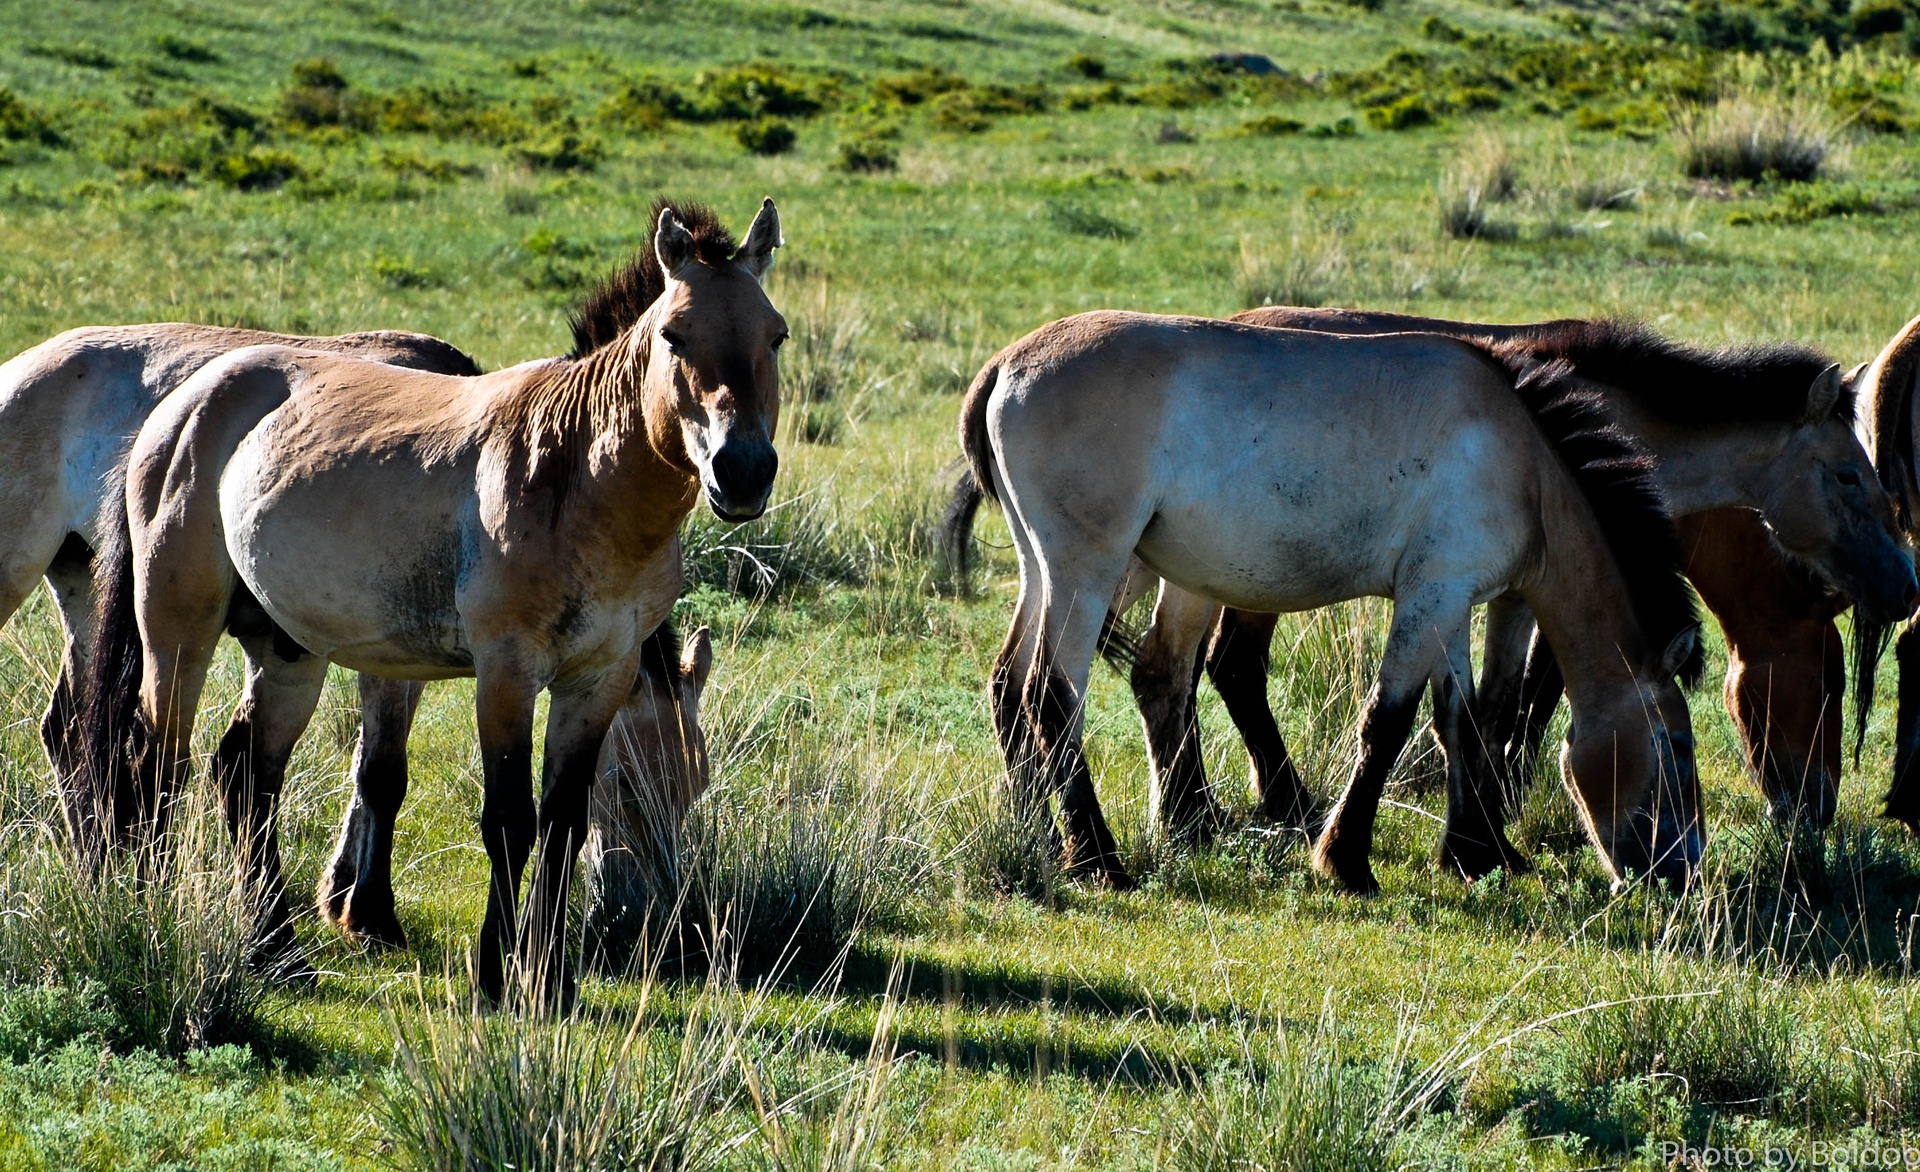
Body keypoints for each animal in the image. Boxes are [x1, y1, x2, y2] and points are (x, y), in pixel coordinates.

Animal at [0, 318, 480, 856]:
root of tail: (16, 371)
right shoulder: (389, 656)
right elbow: (380, 776)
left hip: (87, 593)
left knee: (72, 730)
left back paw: (96, 860)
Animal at [84, 195, 787, 999]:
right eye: (674, 335)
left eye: (775, 335)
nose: (742, 470)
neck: (576, 476)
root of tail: (181, 403)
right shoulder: (506, 673)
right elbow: (508, 820)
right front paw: (494, 973)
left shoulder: (597, 680)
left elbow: (562, 822)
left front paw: (550, 981)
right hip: (178, 631)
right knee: (155, 762)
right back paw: (151, 916)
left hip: (289, 650)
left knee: (246, 768)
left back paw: (274, 947)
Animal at [967, 305, 1704, 891]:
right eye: (1677, 743)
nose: (1684, 870)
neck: (1523, 464)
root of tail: (1006, 364)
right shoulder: (1430, 595)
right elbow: (1389, 722)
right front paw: (1347, 860)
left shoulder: (1451, 601)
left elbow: (1458, 720)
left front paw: (1477, 852)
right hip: (1085, 571)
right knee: (1050, 695)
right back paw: (1098, 859)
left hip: (1043, 570)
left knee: (1012, 682)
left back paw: (1039, 831)